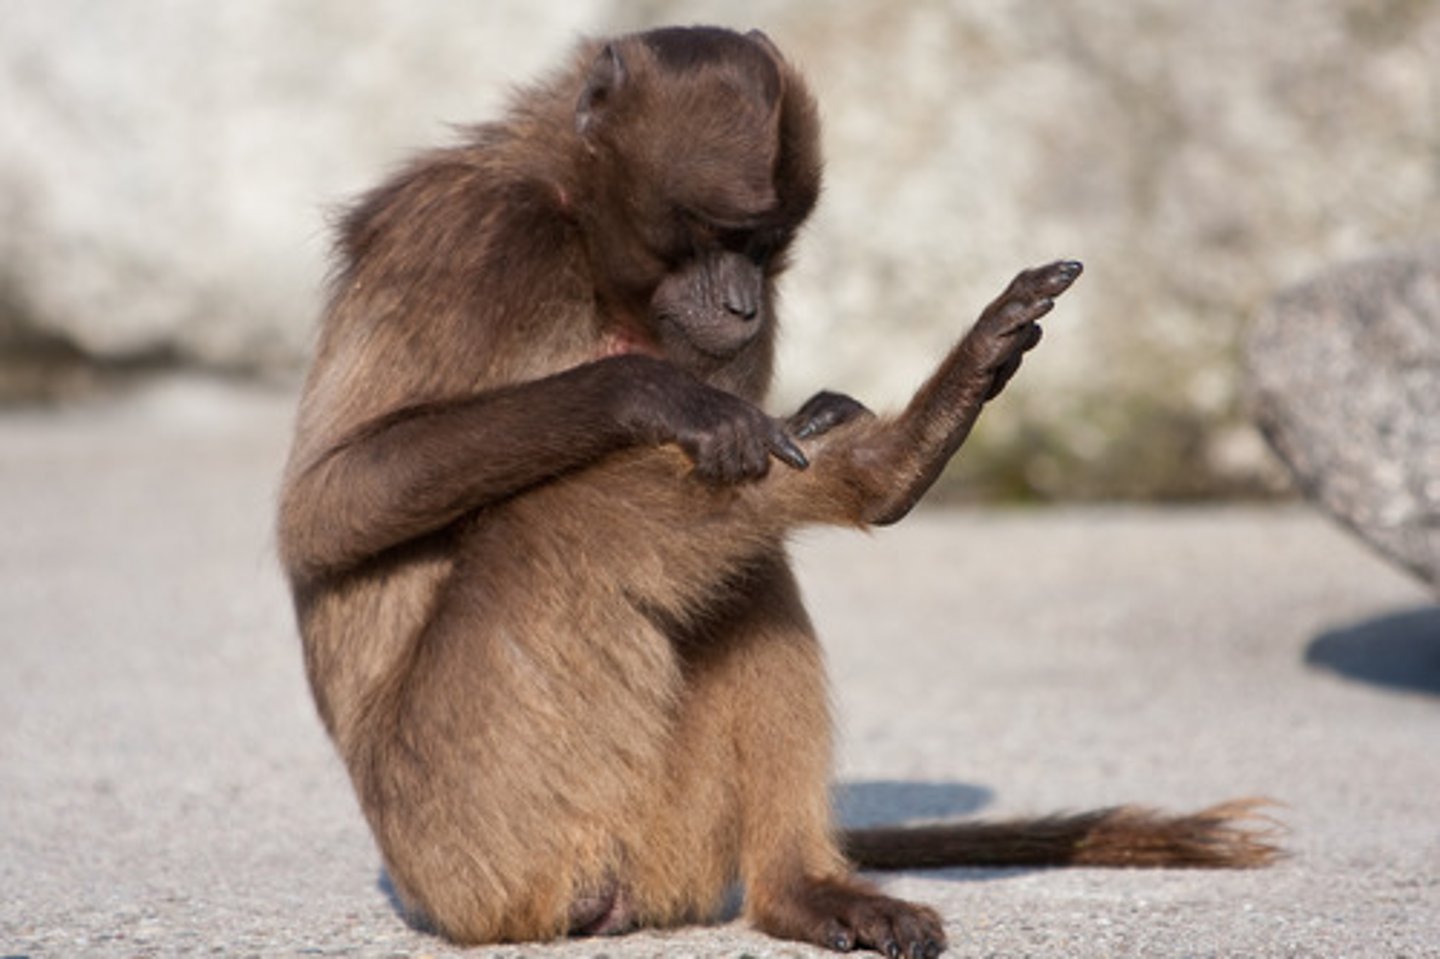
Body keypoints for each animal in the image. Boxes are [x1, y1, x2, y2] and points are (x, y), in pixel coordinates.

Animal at [277, 26, 1279, 957]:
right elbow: (328, 505)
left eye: (763, 244)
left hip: (645, 827)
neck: (583, 239)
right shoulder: (466, 234)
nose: (743, 304)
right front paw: (658, 397)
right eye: (711, 233)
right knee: (560, 519)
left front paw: (815, 416)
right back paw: (888, 467)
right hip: (484, 827)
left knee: (744, 569)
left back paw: (801, 885)